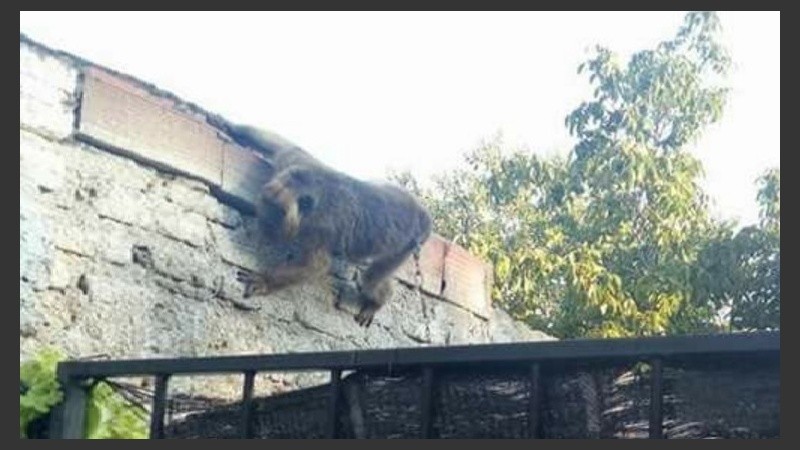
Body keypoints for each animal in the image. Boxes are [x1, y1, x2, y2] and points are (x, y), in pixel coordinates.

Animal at [225, 122, 433, 327]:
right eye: (267, 204)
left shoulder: (320, 226)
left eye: (278, 212)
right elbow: (285, 145)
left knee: (371, 279)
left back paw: (377, 302)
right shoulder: (294, 164)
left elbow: (316, 265)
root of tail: (423, 216)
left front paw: (265, 281)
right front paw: (228, 125)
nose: (266, 224)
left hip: (406, 246)